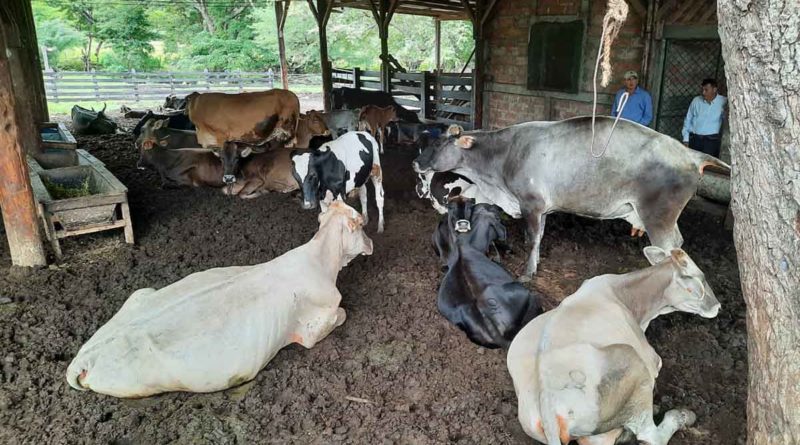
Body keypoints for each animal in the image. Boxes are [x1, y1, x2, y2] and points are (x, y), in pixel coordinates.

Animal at [65, 196, 372, 398]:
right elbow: (342, 313)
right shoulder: (315, 326)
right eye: (361, 223)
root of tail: (84, 358)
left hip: (139, 294)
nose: (371, 243)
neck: (322, 262)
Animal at [416, 116, 736, 280]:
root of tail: (689, 153)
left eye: (438, 143)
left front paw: (527, 274)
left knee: (672, 248)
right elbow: (540, 238)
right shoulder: (542, 209)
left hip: (658, 216)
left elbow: (531, 239)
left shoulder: (531, 204)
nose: (416, 162)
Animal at [510, 246, 720, 444]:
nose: (718, 306)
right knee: (649, 434)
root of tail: (548, 403)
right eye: (701, 278)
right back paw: (681, 415)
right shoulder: (652, 360)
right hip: (633, 365)